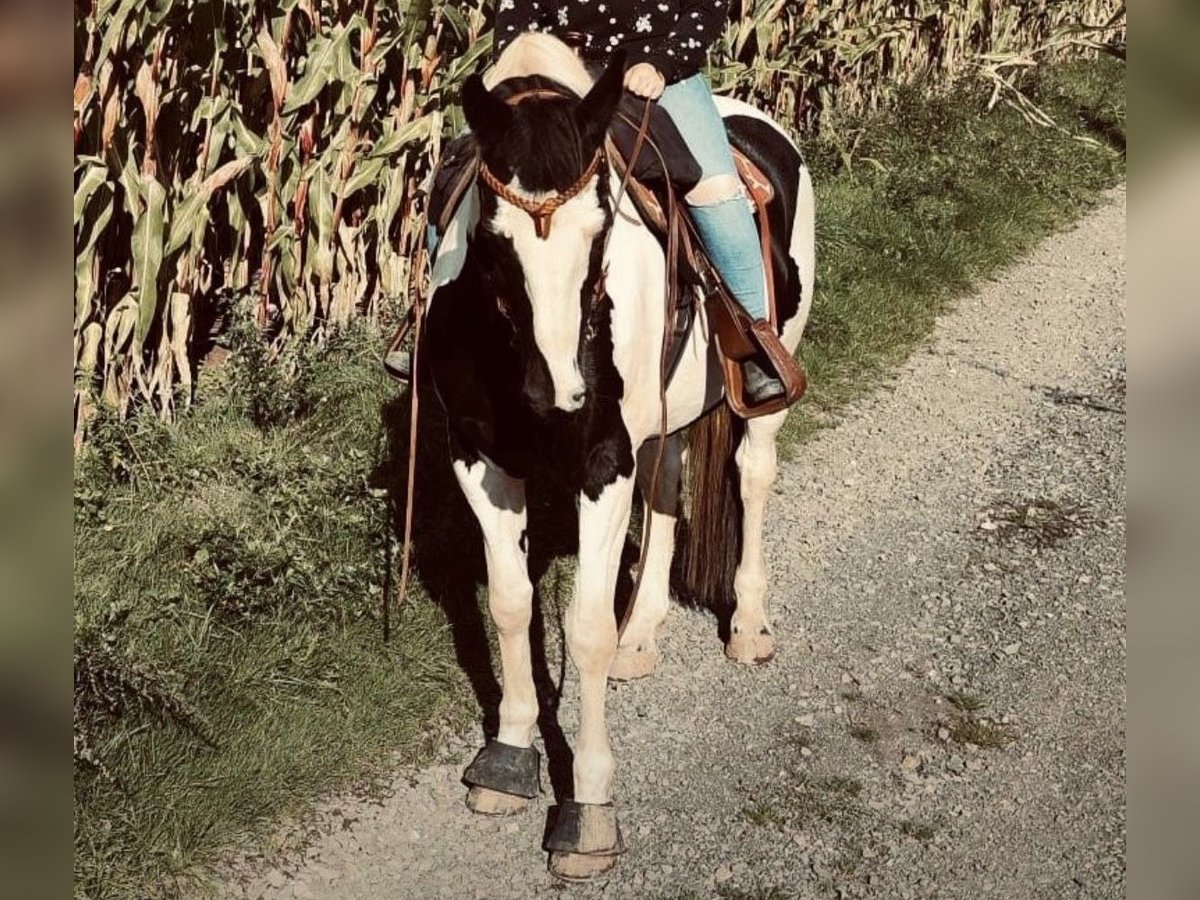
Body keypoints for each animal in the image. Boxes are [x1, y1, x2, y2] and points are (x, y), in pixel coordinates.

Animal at [422, 35, 816, 883]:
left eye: (600, 228)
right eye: (493, 241)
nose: (561, 392)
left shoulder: (601, 462)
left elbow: (584, 629)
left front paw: (588, 811)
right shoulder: (479, 458)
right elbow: (512, 604)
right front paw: (508, 757)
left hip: (765, 392)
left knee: (753, 477)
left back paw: (749, 626)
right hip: (663, 421)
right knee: (666, 488)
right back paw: (645, 636)